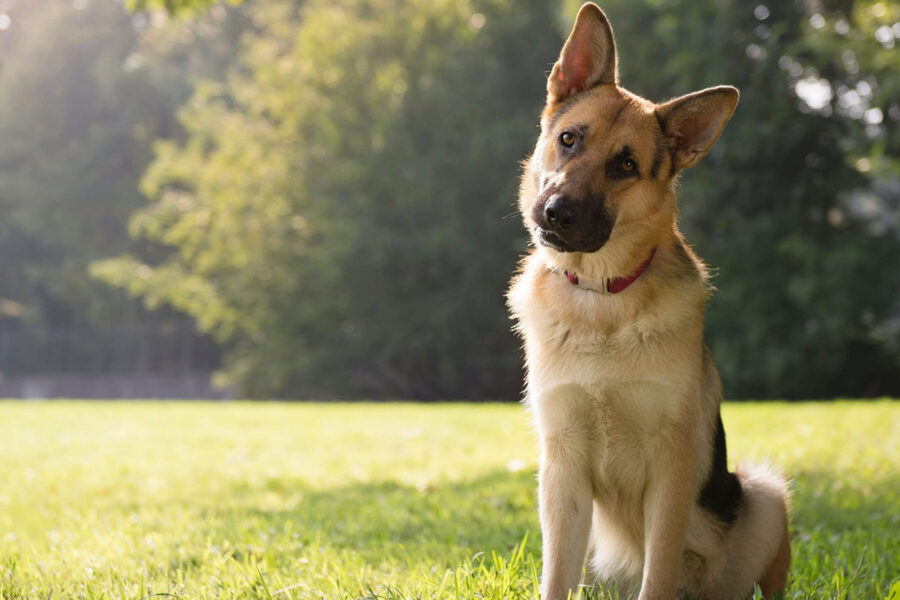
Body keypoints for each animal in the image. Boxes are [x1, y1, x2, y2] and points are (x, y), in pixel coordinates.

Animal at [510, 4, 792, 600]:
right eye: (569, 139)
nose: (556, 213)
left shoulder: (672, 469)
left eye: (625, 166)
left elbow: (657, 570)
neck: (602, 299)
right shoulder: (562, 468)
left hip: (764, 494)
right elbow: (556, 575)